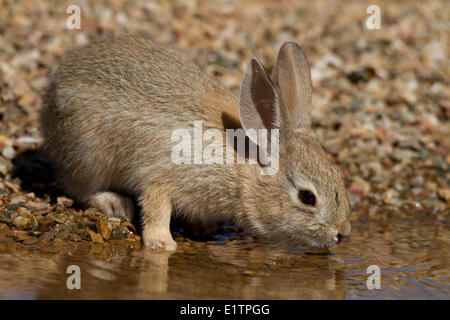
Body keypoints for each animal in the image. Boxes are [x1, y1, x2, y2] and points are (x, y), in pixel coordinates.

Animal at [41, 36, 352, 251]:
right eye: (307, 197)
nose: (342, 233)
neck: (243, 167)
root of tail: (50, 95)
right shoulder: (163, 177)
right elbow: (156, 208)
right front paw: (162, 244)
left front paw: (202, 231)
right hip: (87, 152)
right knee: (79, 188)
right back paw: (115, 204)